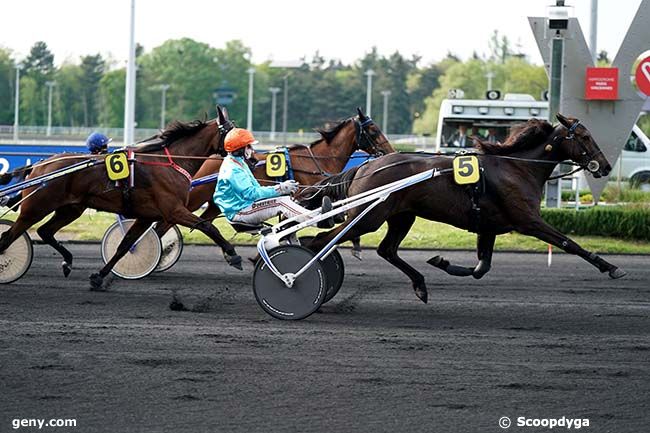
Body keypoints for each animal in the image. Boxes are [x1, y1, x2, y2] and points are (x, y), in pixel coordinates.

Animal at [0, 113, 238, 286]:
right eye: (231, 132)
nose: (245, 151)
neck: (170, 162)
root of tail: (40, 164)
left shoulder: (147, 215)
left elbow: (125, 245)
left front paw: (98, 277)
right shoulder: (174, 210)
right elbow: (207, 226)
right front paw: (232, 255)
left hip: (71, 208)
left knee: (45, 231)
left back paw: (67, 262)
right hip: (36, 208)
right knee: (7, 237)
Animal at [302, 115, 624, 304]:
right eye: (584, 137)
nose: (605, 166)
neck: (517, 168)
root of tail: (363, 167)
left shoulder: (489, 226)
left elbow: (481, 268)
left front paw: (441, 261)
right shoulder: (528, 221)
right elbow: (569, 243)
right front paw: (610, 267)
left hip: (402, 216)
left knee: (386, 249)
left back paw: (420, 284)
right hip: (369, 217)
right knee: (320, 241)